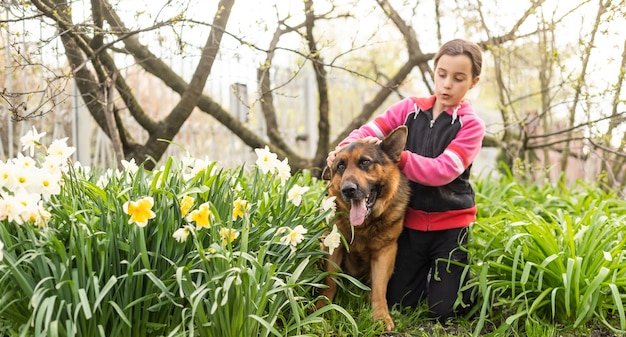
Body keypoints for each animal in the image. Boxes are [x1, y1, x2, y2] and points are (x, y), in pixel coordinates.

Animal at [316, 126, 410, 330]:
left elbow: (379, 288)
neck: (364, 226)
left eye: (365, 162)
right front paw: (322, 309)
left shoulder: (385, 252)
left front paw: (381, 316)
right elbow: (330, 281)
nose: (348, 190)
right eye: (340, 166)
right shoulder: (334, 245)